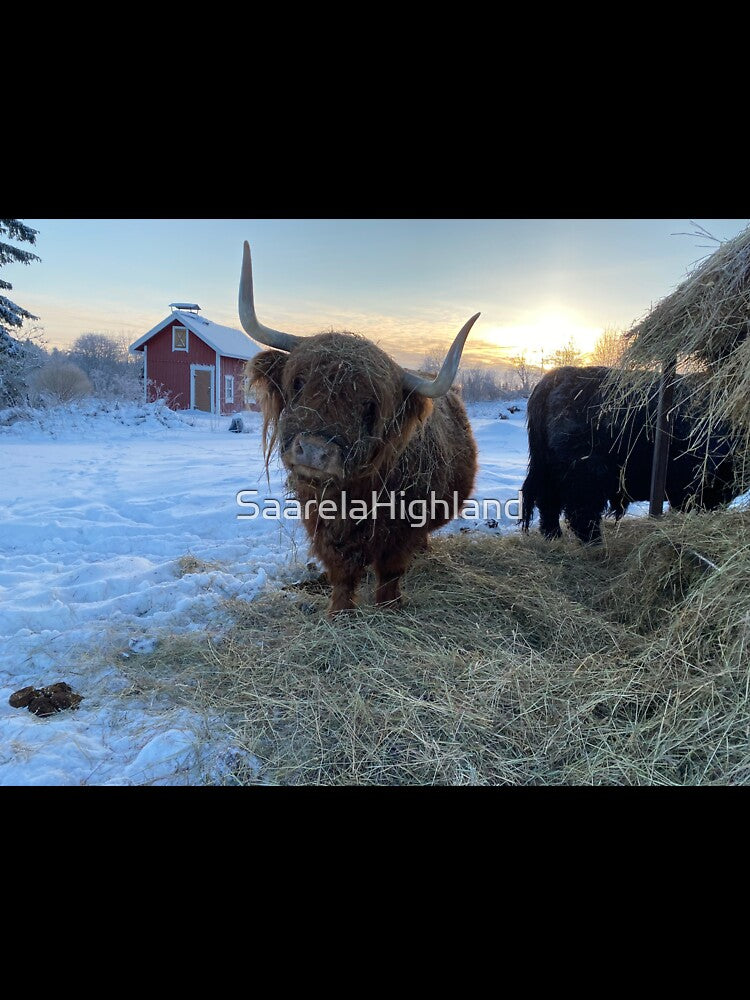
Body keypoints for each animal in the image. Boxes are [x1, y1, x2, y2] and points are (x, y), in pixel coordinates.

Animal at [237, 242, 480, 615]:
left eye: (369, 407)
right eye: (298, 382)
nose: (314, 451)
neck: (350, 499)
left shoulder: (402, 528)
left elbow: (391, 571)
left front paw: (389, 606)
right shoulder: (320, 522)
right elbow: (342, 573)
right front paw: (339, 612)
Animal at [521, 365, 735, 544]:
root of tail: (554, 379)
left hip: (548, 470)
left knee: (548, 502)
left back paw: (554, 536)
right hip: (584, 476)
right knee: (580, 512)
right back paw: (594, 543)